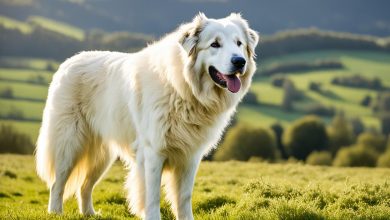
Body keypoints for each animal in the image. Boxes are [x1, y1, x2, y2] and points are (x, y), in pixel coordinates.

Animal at [35, 12, 258, 219]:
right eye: (215, 44)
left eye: (239, 43)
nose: (239, 61)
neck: (183, 88)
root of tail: (69, 62)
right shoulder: (153, 153)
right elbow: (152, 197)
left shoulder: (190, 157)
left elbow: (184, 197)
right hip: (69, 145)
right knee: (57, 183)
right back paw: (55, 212)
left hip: (102, 155)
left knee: (85, 185)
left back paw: (89, 213)